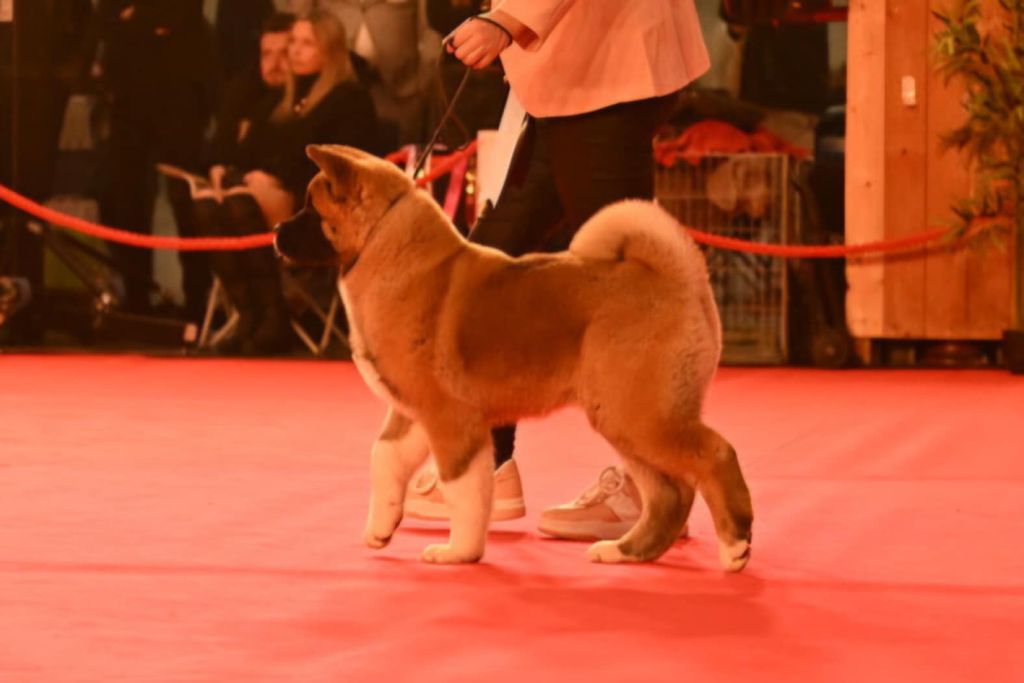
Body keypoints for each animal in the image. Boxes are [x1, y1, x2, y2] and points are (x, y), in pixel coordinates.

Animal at [275, 144, 753, 570]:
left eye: (311, 209)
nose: (277, 231)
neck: (386, 246)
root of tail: (676, 276)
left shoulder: (450, 418)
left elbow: (462, 489)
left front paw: (458, 553)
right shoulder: (412, 412)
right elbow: (385, 460)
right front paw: (381, 527)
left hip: (642, 415)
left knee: (715, 455)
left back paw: (735, 547)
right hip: (624, 419)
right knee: (671, 493)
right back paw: (623, 552)